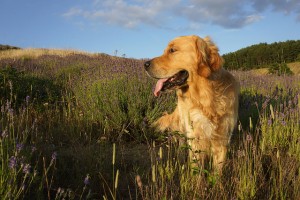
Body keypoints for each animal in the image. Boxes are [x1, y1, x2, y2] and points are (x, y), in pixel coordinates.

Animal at [144, 34, 240, 172]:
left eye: (172, 50)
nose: (145, 64)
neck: (206, 96)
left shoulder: (222, 139)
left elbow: (218, 172)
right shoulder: (195, 138)